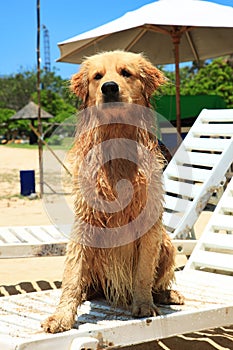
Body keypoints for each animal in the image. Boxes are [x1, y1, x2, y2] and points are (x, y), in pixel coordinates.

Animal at [41, 50, 184, 334]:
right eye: (98, 76)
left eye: (125, 72)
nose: (109, 87)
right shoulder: (85, 222)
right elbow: (72, 276)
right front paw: (62, 316)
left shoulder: (149, 225)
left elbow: (143, 273)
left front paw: (143, 304)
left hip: (166, 243)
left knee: (158, 280)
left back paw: (166, 294)